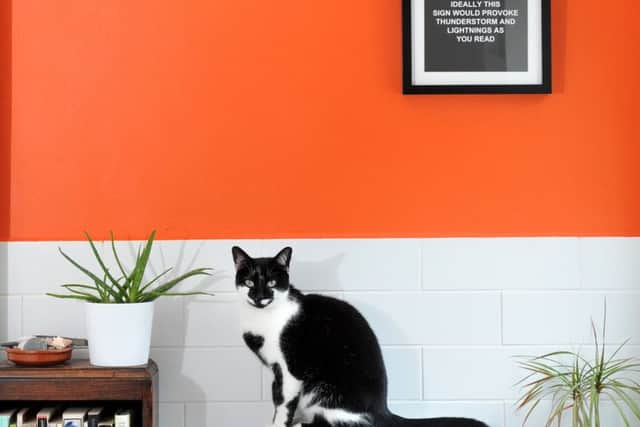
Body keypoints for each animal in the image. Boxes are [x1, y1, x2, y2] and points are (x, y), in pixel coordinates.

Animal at [232, 247, 488, 427]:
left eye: (272, 282)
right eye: (249, 282)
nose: (259, 297)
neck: (263, 317)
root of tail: (383, 410)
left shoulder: (291, 369)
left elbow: (284, 404)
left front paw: (279, 423)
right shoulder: (276, 372)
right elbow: (278, 399)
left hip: (326, 394)